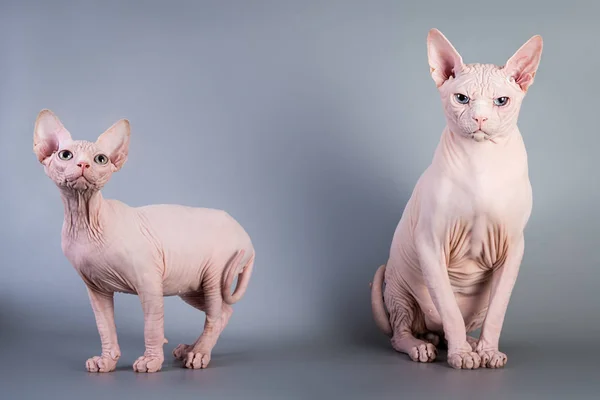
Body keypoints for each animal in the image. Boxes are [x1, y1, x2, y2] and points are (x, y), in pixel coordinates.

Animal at [33, 109, 255, 372]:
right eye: (65, 155)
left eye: (100, 159)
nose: (83, 164)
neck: (85, 219)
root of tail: (246, 236)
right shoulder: (96, 288)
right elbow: (105, 327)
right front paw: (106, 360)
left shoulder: (149, 282)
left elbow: (152, 326)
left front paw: (151, 361)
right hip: (189, 283)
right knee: (224, 311)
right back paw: (191, 348)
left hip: (215, 273)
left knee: (215, 314)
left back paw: (199, 354)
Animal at [370, 29, 544, 370]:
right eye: (461, 98)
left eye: (501, 101)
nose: (479, 118)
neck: (482, 163)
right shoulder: (430, 242)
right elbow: (448, 308)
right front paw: (461, 356)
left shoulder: (513, 246)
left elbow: (498, 312)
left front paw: (488, 351)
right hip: (399, 289)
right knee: (405, 331)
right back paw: (424, 346)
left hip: (478, 300)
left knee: (456, 326)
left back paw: (471, 343)